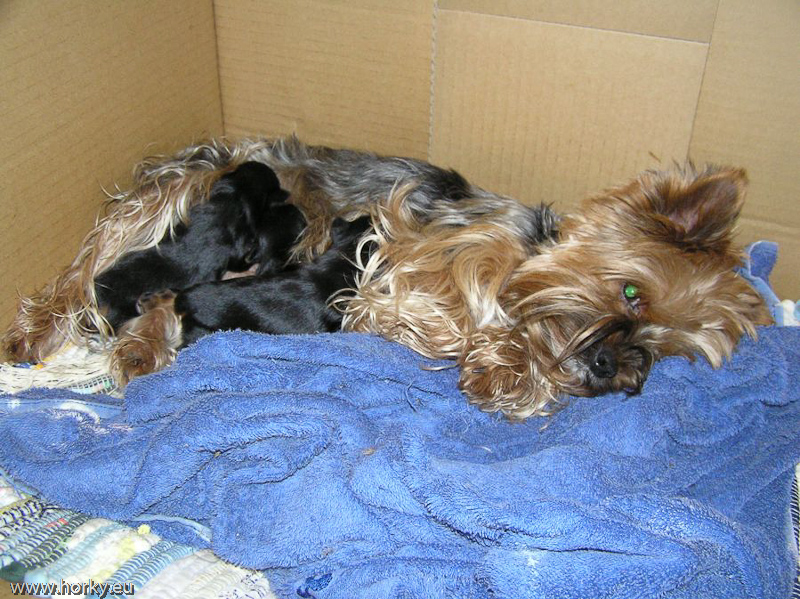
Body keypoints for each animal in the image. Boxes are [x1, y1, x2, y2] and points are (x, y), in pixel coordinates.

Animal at [2, 137, 772, 418]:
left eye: (665, 348)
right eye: (632, 293)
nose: (617, 369)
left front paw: (509, 370)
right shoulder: (425, 251)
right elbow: (448, 310)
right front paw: (494, 353)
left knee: (150, 290)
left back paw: (138, 343)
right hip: (177, 195)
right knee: (84, 271)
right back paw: (43, 330)